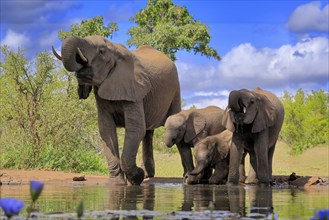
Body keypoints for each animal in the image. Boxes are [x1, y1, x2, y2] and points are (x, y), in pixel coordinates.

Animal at [52, 35, 179, 185]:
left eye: (101, 51)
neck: (116, 50)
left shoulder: (134, 90)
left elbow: (135, 128)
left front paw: (136, 178)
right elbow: (106, 129)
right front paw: (117, 184)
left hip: (176, 89)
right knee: (148, 133)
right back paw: (148, 174)